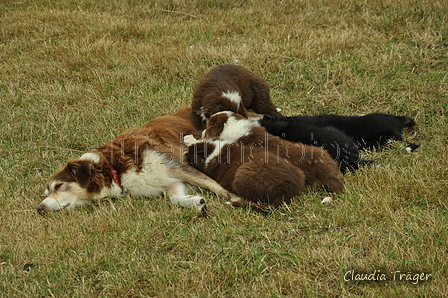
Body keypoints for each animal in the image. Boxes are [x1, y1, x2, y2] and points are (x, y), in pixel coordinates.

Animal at [37, 107, 231, 214]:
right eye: (46, 193)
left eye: (58, 186)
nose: (39, 208)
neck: (113, 168)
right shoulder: (171, 183)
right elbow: (175, 198)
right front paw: (196, 203)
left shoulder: (177, 163)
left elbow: (216, 186)